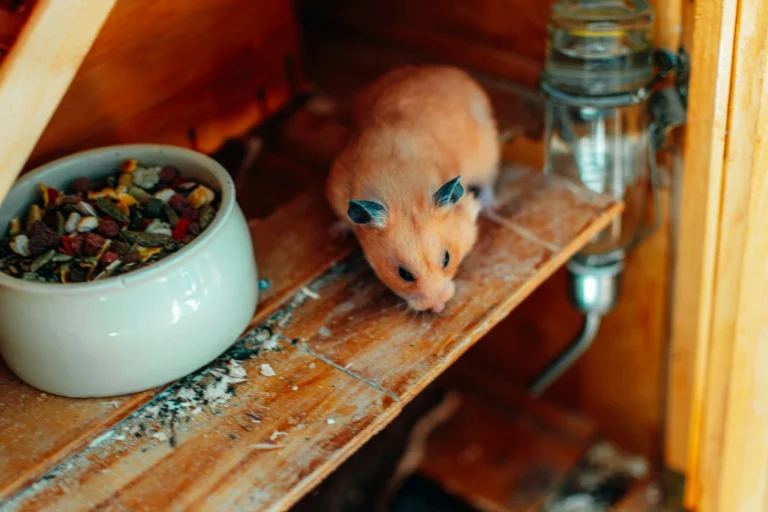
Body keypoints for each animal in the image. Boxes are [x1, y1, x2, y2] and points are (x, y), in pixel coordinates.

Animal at [326, 65, 500, 313]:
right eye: (404, 274)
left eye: (447, 259)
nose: (438, 308)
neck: (401, 191)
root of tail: (441, 68)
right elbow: (343, 218)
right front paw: (335, 234)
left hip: (488, 152)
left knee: (488, 182)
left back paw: (491, 207)